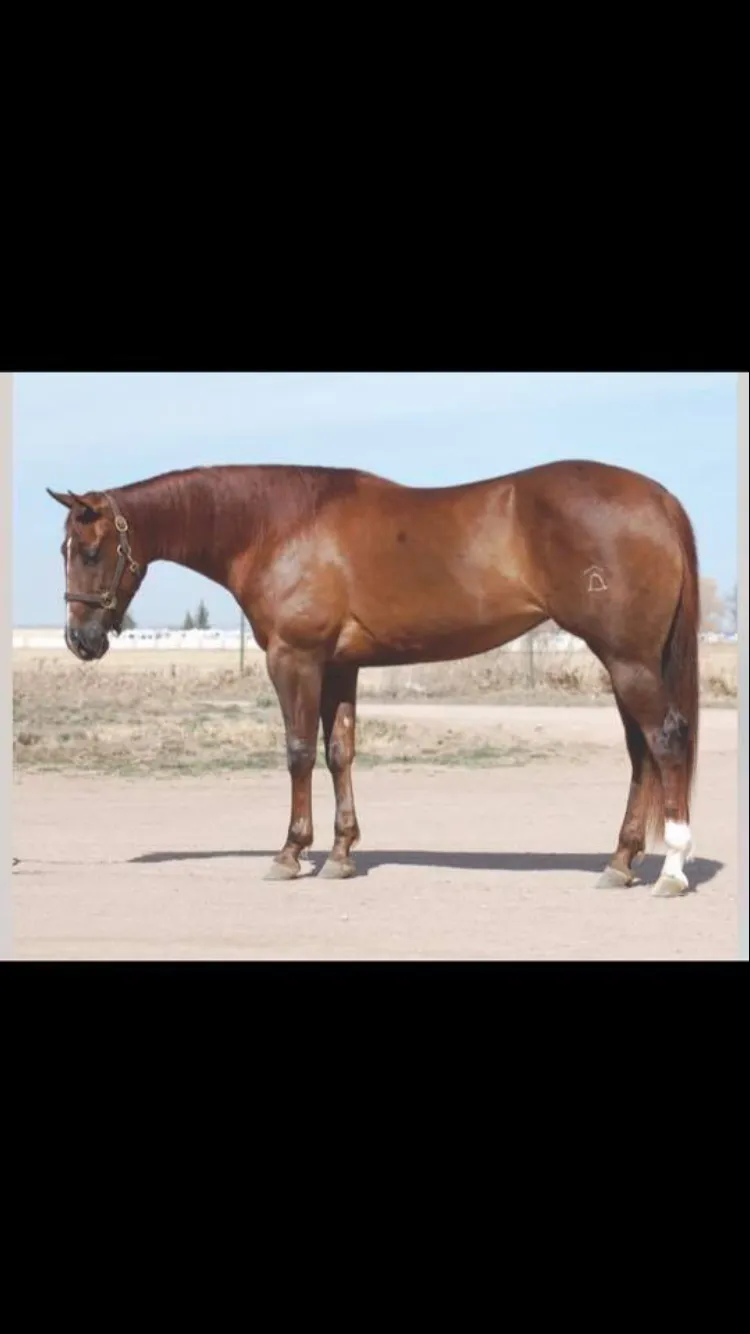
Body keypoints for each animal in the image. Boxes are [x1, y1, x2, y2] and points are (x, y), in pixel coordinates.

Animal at [47, 458, 700, 896]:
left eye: (90, 551)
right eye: (63, 549)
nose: (81, 640)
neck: (278, 525)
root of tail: (659, 497)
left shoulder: (295, 659)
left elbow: (298, 751)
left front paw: (290, 853)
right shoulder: (340, 667)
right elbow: (339, 752)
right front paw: (340, 855)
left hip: (628, 659)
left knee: (665, 743)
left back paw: (670, 869)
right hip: (624, 661)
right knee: (641, 753)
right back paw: (620, 863)